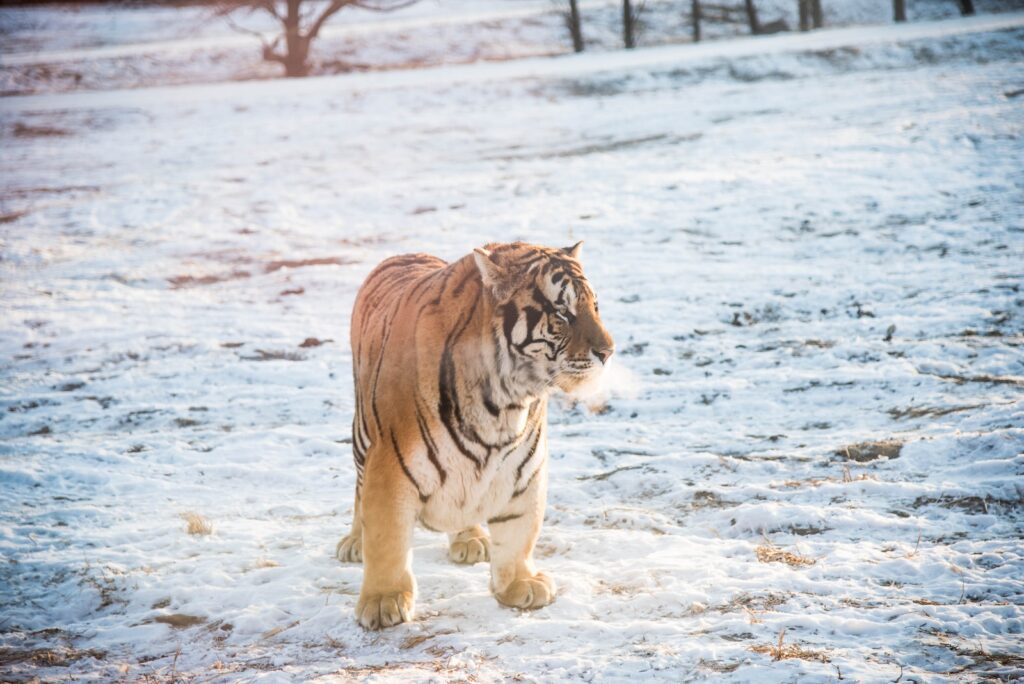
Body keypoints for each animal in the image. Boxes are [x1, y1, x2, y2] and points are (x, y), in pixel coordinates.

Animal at [335, 240, 610, 630]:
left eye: (594, 307)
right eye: (562, 313)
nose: (608, 352)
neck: (503, 404)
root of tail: (407, 252)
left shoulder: (524, 469)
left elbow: (519, 530)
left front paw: (521, 584)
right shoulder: (390, 465)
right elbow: (387, 539)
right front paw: (382, 602)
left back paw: (471, 539)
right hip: (363, 438)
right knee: (360, 492)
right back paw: (355, 543)